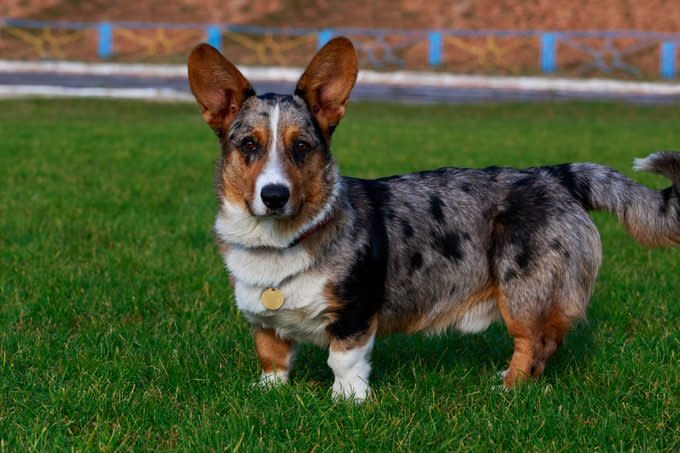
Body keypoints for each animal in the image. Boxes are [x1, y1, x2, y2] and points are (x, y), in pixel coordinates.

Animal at [187, 37, 680, 400]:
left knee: (534, 342)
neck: (281, 240)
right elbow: (272, 355)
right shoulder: (263, 320)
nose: (274, 195)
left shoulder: (354, 314)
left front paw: (347, 401)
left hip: (524, 291)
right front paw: (269, 392)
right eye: (249, 145)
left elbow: (343, 360)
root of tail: (555, 175)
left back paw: (506, 388)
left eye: (302, 147)